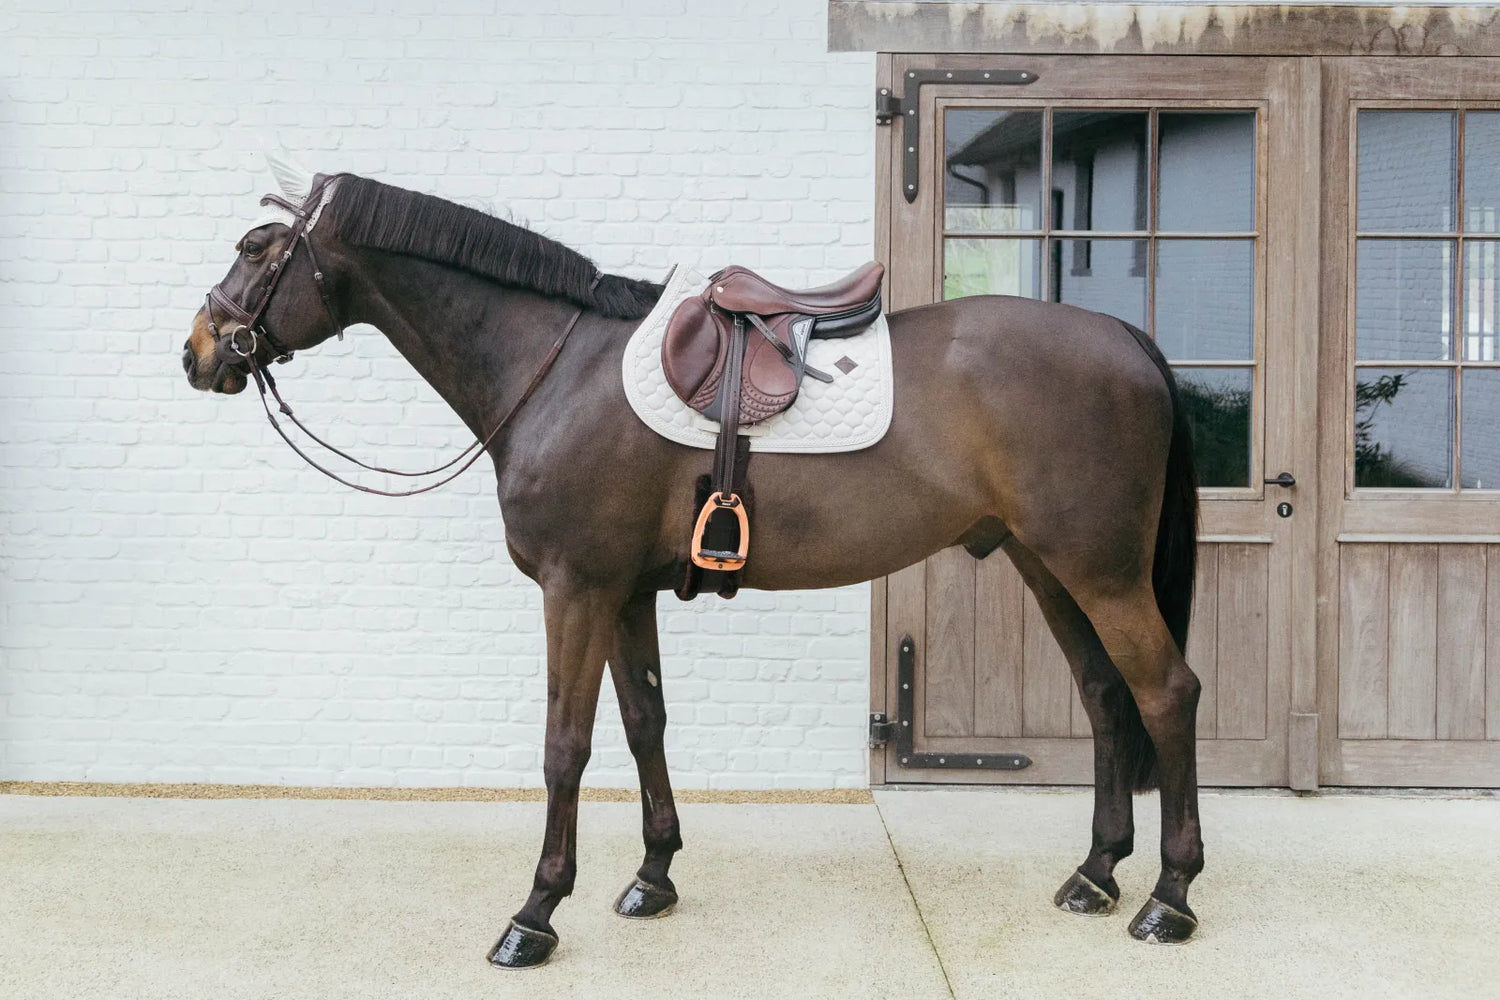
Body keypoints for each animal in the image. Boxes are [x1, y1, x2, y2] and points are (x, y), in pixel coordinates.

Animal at [178, 170, 1206, 971]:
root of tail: (1127, 340)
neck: (558, 371)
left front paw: (535, 913)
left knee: (1166, 693)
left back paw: (1170, 897)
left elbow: (565, 745)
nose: (197, 351)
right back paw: (1097, 875)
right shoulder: (626, 591)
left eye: (257, 249)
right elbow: (645, 723)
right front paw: (652, 876)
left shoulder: (577, 588)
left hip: (1100, 573)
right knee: (1105, 697)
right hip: (1050, 566)